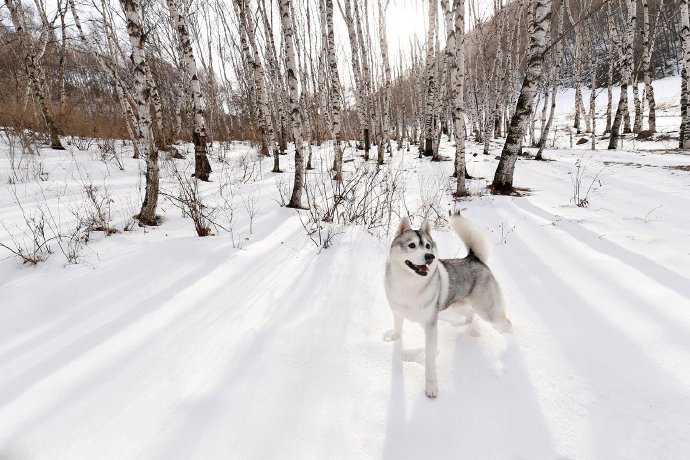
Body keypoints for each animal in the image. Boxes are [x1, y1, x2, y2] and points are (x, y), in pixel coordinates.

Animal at [382, 214, 510, 398]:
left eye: (428, 246)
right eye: (412, 245)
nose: (430, 257)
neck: (409, 284)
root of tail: (473, 258)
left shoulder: (430, 326)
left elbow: (429, 359)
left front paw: (431, 386)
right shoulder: (397, 311)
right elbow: (398, 327)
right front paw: (394, 339)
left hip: (489, 311)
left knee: (505, 322)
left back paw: (512, 339)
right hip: (457, 304)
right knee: (470, 313)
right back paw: (465, 326)